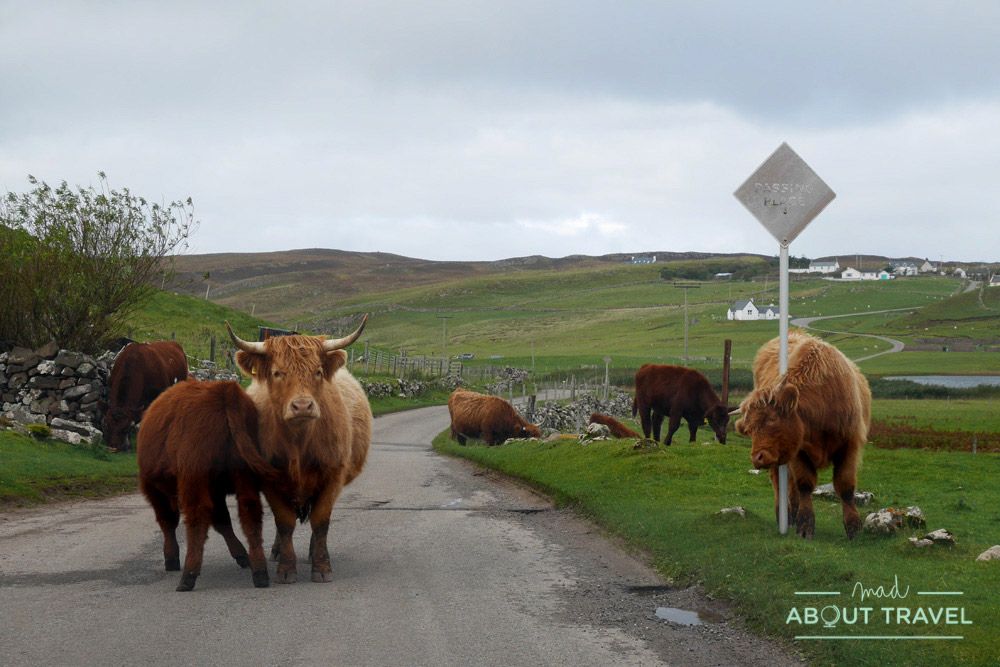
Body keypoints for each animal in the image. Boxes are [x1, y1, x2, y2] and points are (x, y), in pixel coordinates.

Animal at [137, 380, 277, 591]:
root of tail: (224, 389)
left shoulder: (154, 490)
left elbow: (167, 522)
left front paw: (171, 558)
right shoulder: (216, 491)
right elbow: (222, 521)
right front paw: (241, 555)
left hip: (193, 480)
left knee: (197, 518)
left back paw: (188, 576)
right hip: (244, 477)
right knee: (250, 513)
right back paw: (259, 572)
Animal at [226, 317, 372, 584]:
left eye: (318, 372)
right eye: (277, 373)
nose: (302, 406)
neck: (298, 443)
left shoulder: (333, 475)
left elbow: (321, 521)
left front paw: (322, 567)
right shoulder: (270, 481)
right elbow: (284, 522)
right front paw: (286, 568)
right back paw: (276, 551)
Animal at [735, 331, 871, 539]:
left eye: (772, 419)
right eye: (749, 430)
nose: (757, 458)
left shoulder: (850, 445)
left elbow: (845, 486)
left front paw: (854, 527)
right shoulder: (798, 451)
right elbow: (805, 484)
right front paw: (805, 526)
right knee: (780, 483)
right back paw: (784, 515)